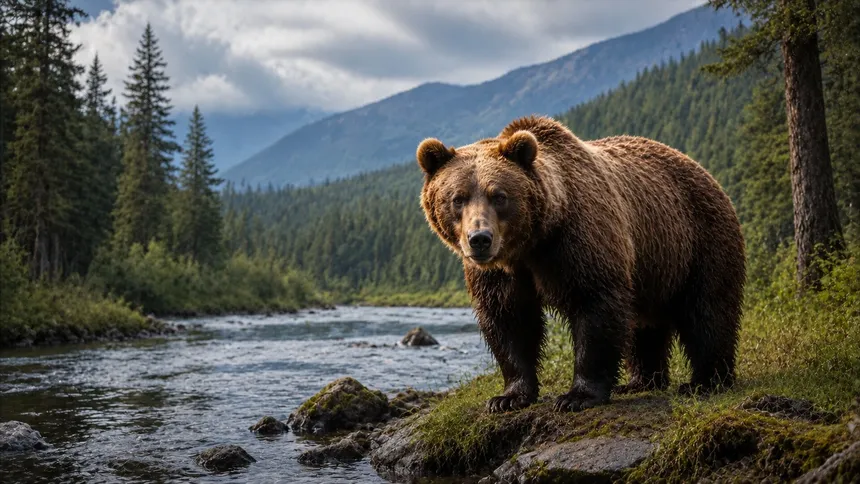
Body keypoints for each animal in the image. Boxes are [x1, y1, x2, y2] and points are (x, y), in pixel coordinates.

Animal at [416, 115, 745, 413]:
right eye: (457, 198)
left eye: (499, 195)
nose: (480, 239)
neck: (533, 242)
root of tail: (702, 170)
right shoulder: (502, 272)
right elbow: (508, 319)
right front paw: (507, 397)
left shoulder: (579, 239)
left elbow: (594, 304)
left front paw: (577, 396)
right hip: (654, 266)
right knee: (645, 325)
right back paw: (641, 381)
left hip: (697, 240)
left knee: (707, 310)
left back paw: (706, 381)